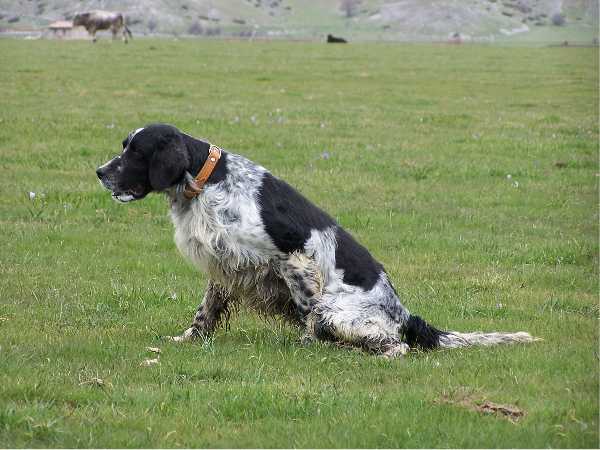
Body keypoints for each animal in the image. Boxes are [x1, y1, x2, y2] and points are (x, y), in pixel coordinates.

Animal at [96, 124, 537, 357]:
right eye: (124, 147)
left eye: (136, 152)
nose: (100, 172)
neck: (207, 181)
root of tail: (406, 314)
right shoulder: (226, 264)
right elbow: (205, 311)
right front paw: (187, 339)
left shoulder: (291, 257)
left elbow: (305, 308)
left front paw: (306, 345)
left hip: (337, 312)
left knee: (394, 346)